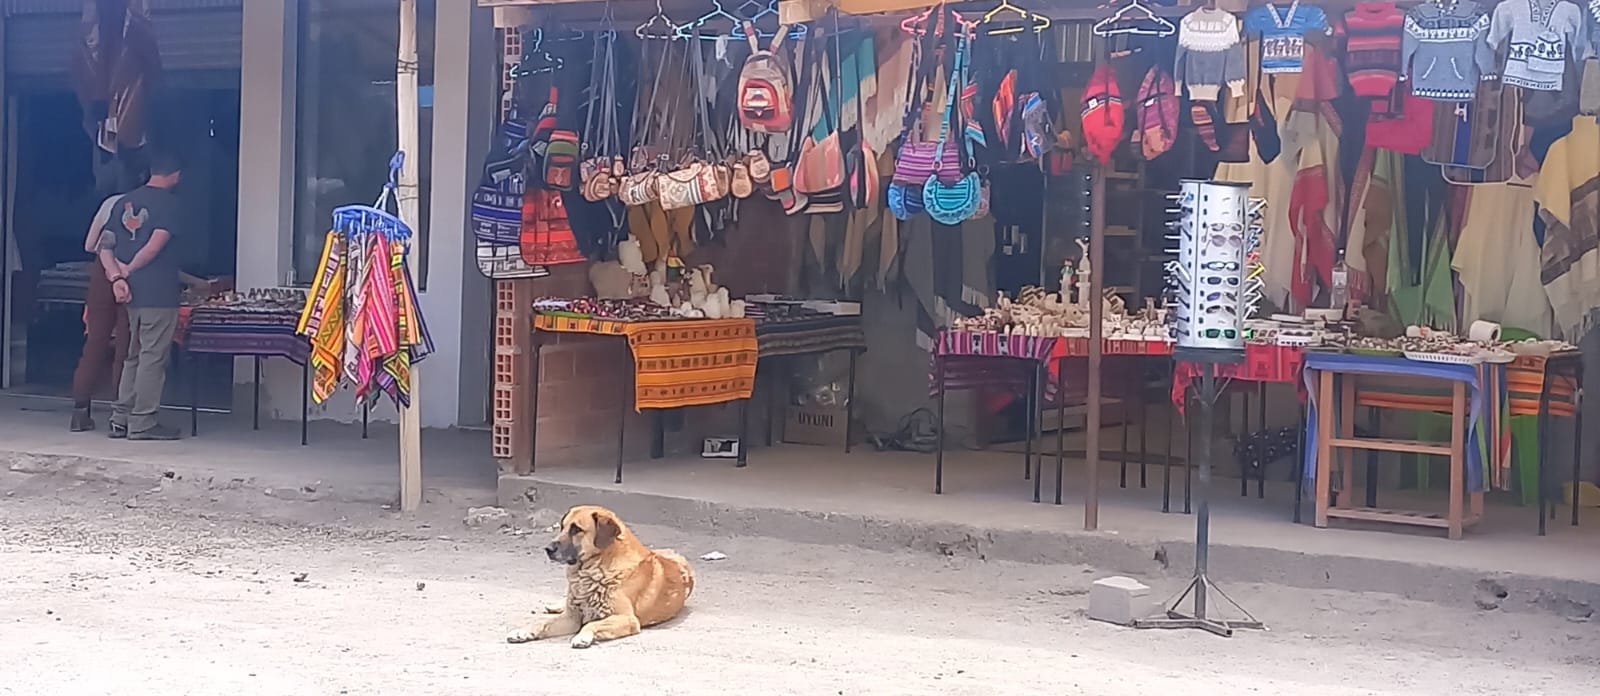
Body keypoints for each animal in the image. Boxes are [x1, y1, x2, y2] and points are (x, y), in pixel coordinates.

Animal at [505, 505, 694, 649]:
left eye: (576, 529)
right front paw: (523, 631)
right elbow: (542, 622)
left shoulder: (627, 619)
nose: (548, 549)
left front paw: (583, 636)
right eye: (562, 527)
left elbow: (592, 623)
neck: (595, 570)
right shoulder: (571, 618)